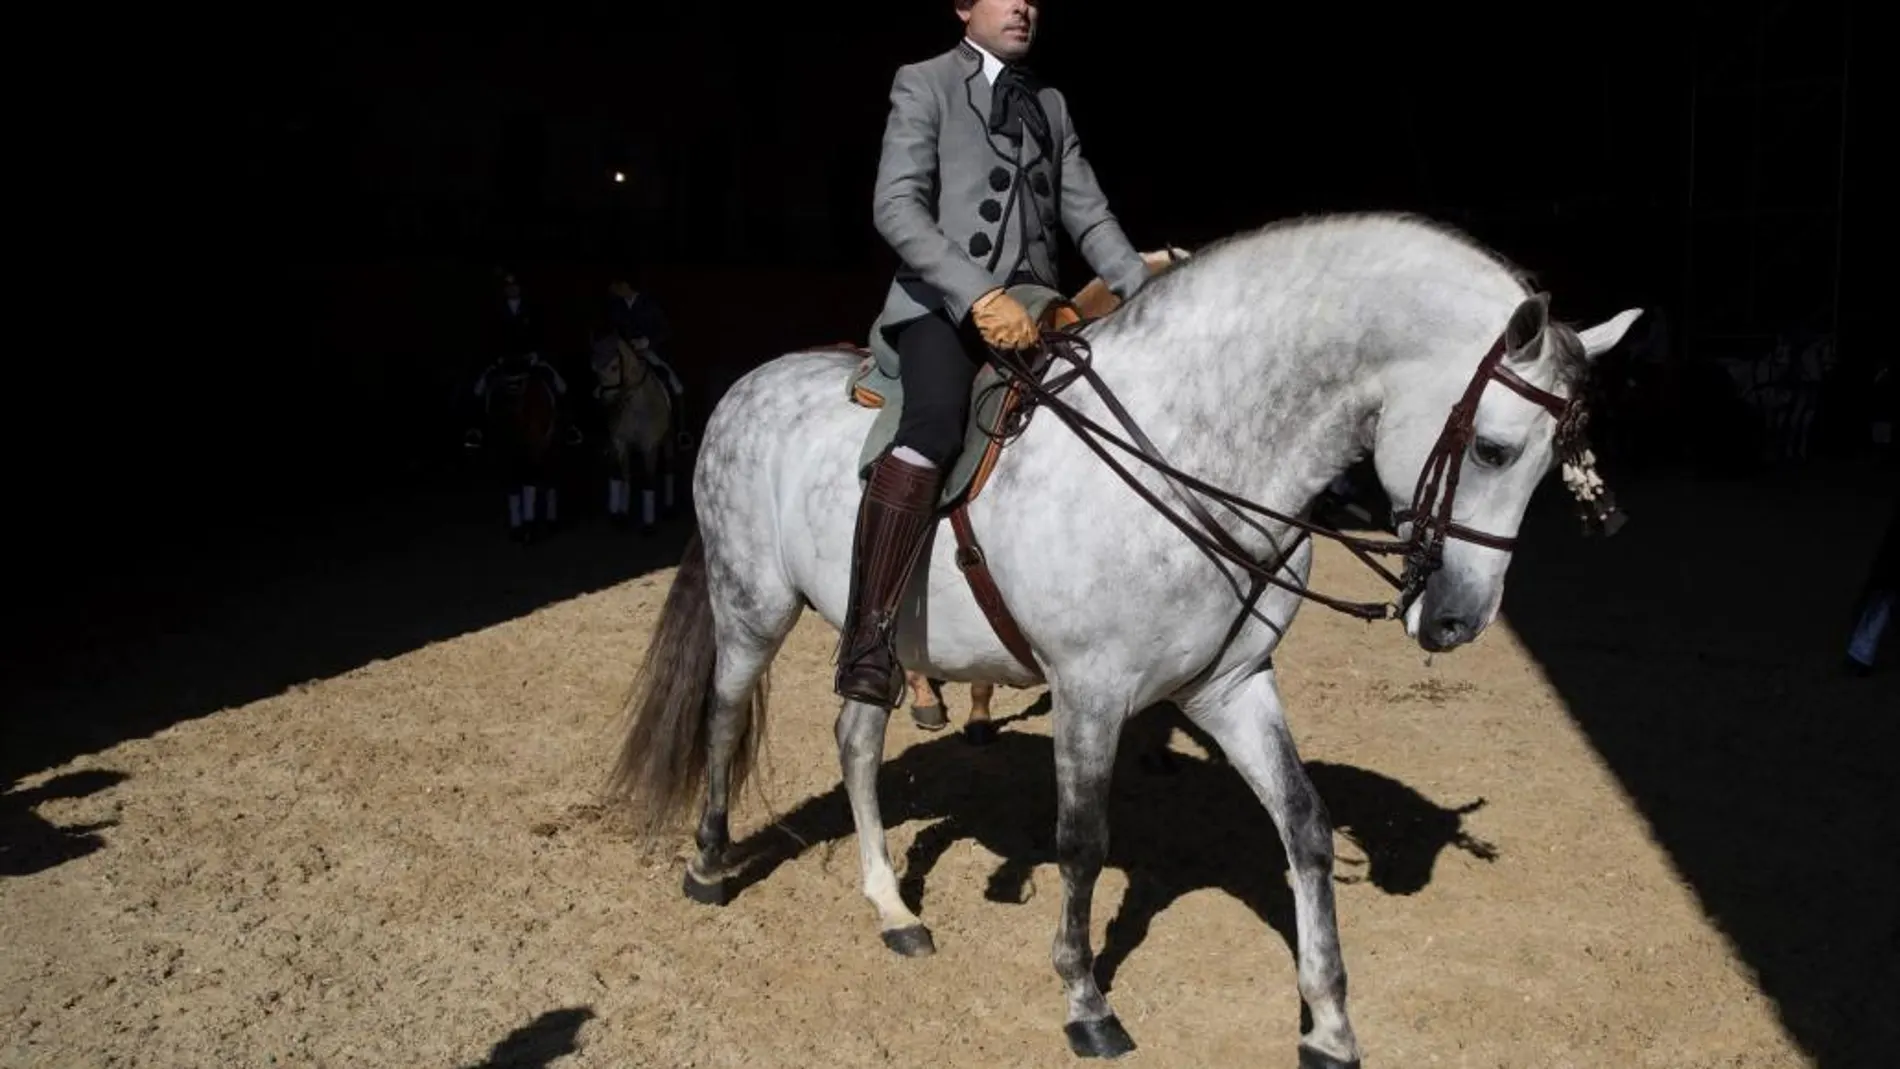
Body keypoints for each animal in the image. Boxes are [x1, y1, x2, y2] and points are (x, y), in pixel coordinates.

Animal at [589, 333, 676, 533]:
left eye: (614, 367)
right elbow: (625, 476)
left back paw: (669, 508)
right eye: (594, 368)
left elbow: (648, 481)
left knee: (668, 469)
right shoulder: (620, 443)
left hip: (668, 440)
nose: (601, 400)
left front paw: (648, 525)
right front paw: (621, 514)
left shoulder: (649, 447)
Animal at [604, 212, 1640, 1066]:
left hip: (882, 642)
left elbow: (1302, 825)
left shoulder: (1233, 683)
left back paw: (893, 908)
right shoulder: (1090, 690)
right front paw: (1085, 1000)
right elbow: (1082, 842)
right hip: (752, 606)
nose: (1460, 619)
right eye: (1494, 449)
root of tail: (748, 383)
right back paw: (709, 864)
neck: (1192, 444)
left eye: (1557, 465)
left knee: (855, 743)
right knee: (725, 718)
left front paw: (1330, 1021)